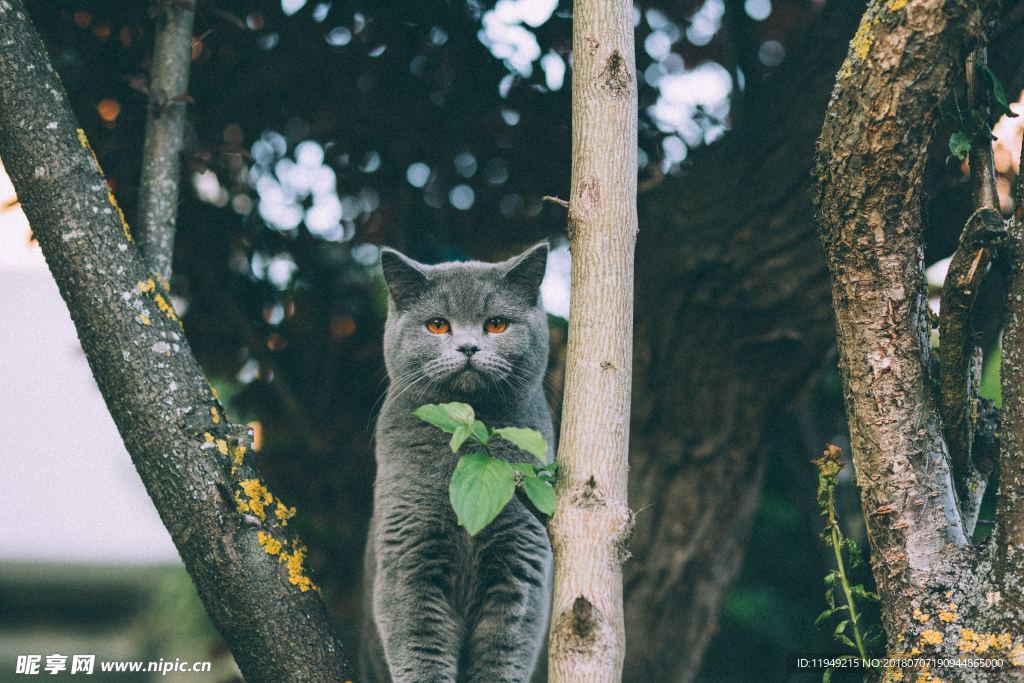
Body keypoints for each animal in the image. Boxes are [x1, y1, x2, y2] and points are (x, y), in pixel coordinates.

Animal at [360, 242, 552, 679]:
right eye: (437, 325)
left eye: (496, 324)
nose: (468, 347)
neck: (468, 450)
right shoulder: (407, 558)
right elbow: (420, 649)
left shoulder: (522, 564)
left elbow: (504, 653)